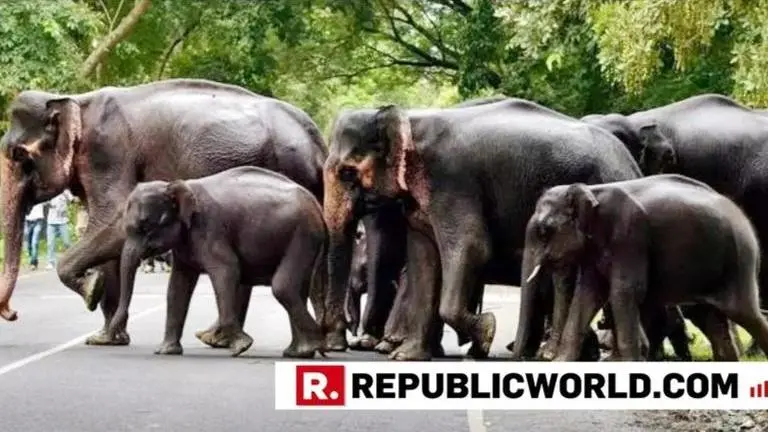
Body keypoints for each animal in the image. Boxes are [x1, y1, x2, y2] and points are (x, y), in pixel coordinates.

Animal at [109, 166, 327, 358]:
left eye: (145, 227)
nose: (117, 335)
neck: (176, 185)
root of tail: (317, 206)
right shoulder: (185, 243)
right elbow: (177, 286)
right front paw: (165, 352)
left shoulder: (209, 229)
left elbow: (227, 270)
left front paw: (242, 347)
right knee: (297, 289)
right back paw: (300, 352)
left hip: (302, 235)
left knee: (283, 287)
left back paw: (317, 345)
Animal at [322, 97, 643, 360]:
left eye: (347, 172)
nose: (337, 346)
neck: (411, 118)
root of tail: (631, 163)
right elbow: (423, 258)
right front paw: (407, 356)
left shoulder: (453, 182)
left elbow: (472, 246)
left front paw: (486, 332)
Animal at [520, 174, 768, 361]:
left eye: (543, 231)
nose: (535, 356)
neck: (591, 191)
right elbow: (588, 295)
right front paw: (561, 363)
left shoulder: (630, 236)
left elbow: (624, 292)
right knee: (712, 320)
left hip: (739, 260)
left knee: (745, 313)